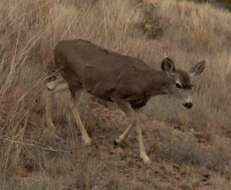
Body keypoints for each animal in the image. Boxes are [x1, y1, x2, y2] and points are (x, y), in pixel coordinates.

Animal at [45, 39, 206, 164]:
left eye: (192, 85)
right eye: (178, 84)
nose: (189, 104)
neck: (146, 82)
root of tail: (57, 46)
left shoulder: (138, 104)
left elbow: (139, 124)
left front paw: (143, 156)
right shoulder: (118, 96)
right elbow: (134, 121)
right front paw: (119, 141)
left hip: (69, 79)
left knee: (50, 86)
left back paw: (52, 125)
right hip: (74, 79)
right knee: (71, 104)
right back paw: (86, 138)